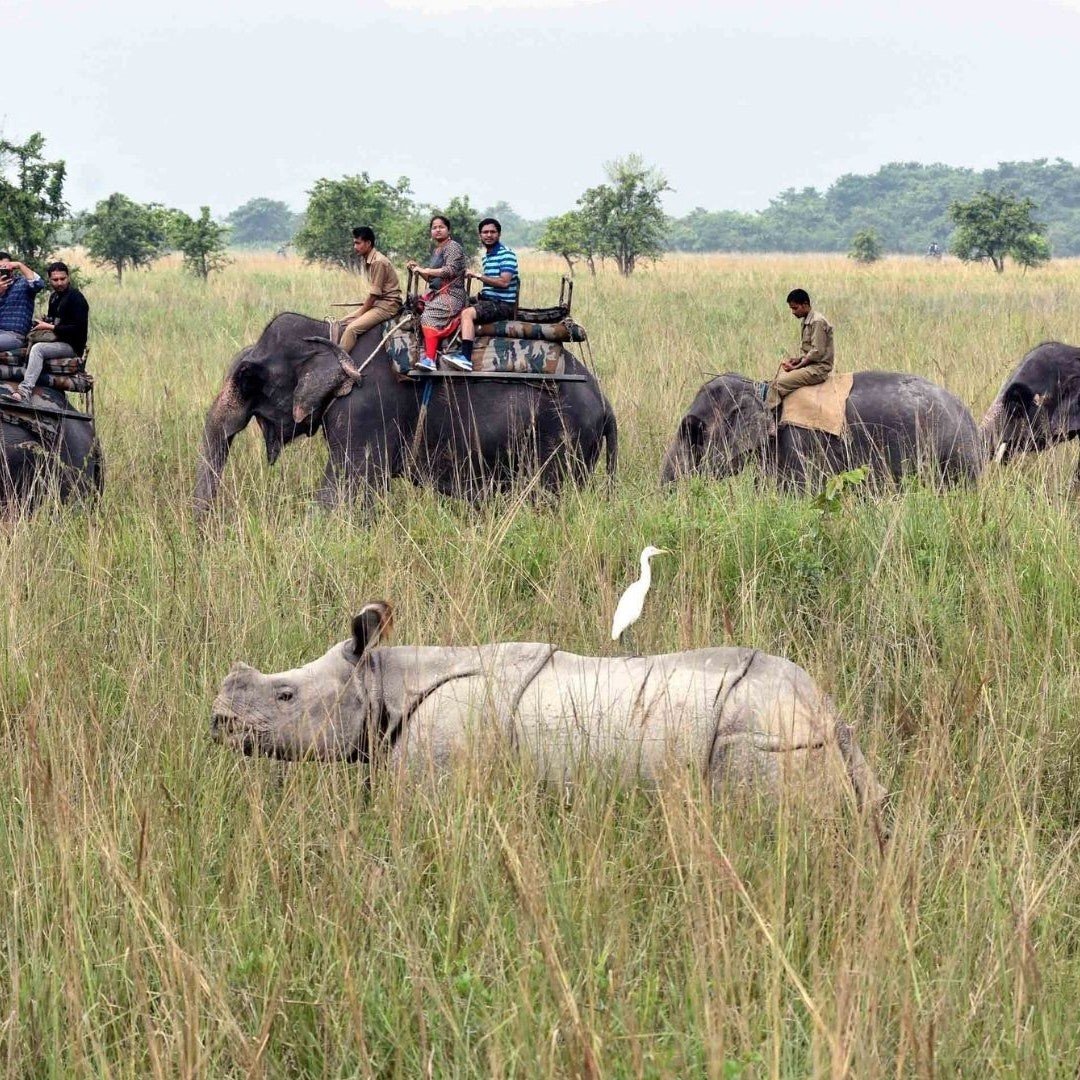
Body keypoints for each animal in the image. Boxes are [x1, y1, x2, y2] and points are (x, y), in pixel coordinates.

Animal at [194, 313, 617, 514]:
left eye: (246, 379)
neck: (333, 334)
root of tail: (606, 404)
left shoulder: (365, 409)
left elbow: (345, 490)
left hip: (562, 442)